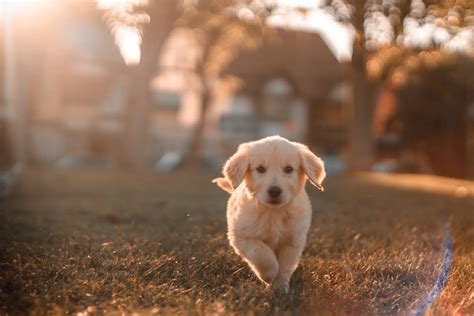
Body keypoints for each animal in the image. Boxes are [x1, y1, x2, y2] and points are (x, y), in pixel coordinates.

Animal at [212, 136, 326, 294]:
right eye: (260, 169)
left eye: (288, 169)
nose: (274, 191)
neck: (273, 212)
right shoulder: (242, 236)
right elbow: (262, 254)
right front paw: (269, 275)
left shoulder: (292, 241)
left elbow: (285, 266)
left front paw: (280, 287)